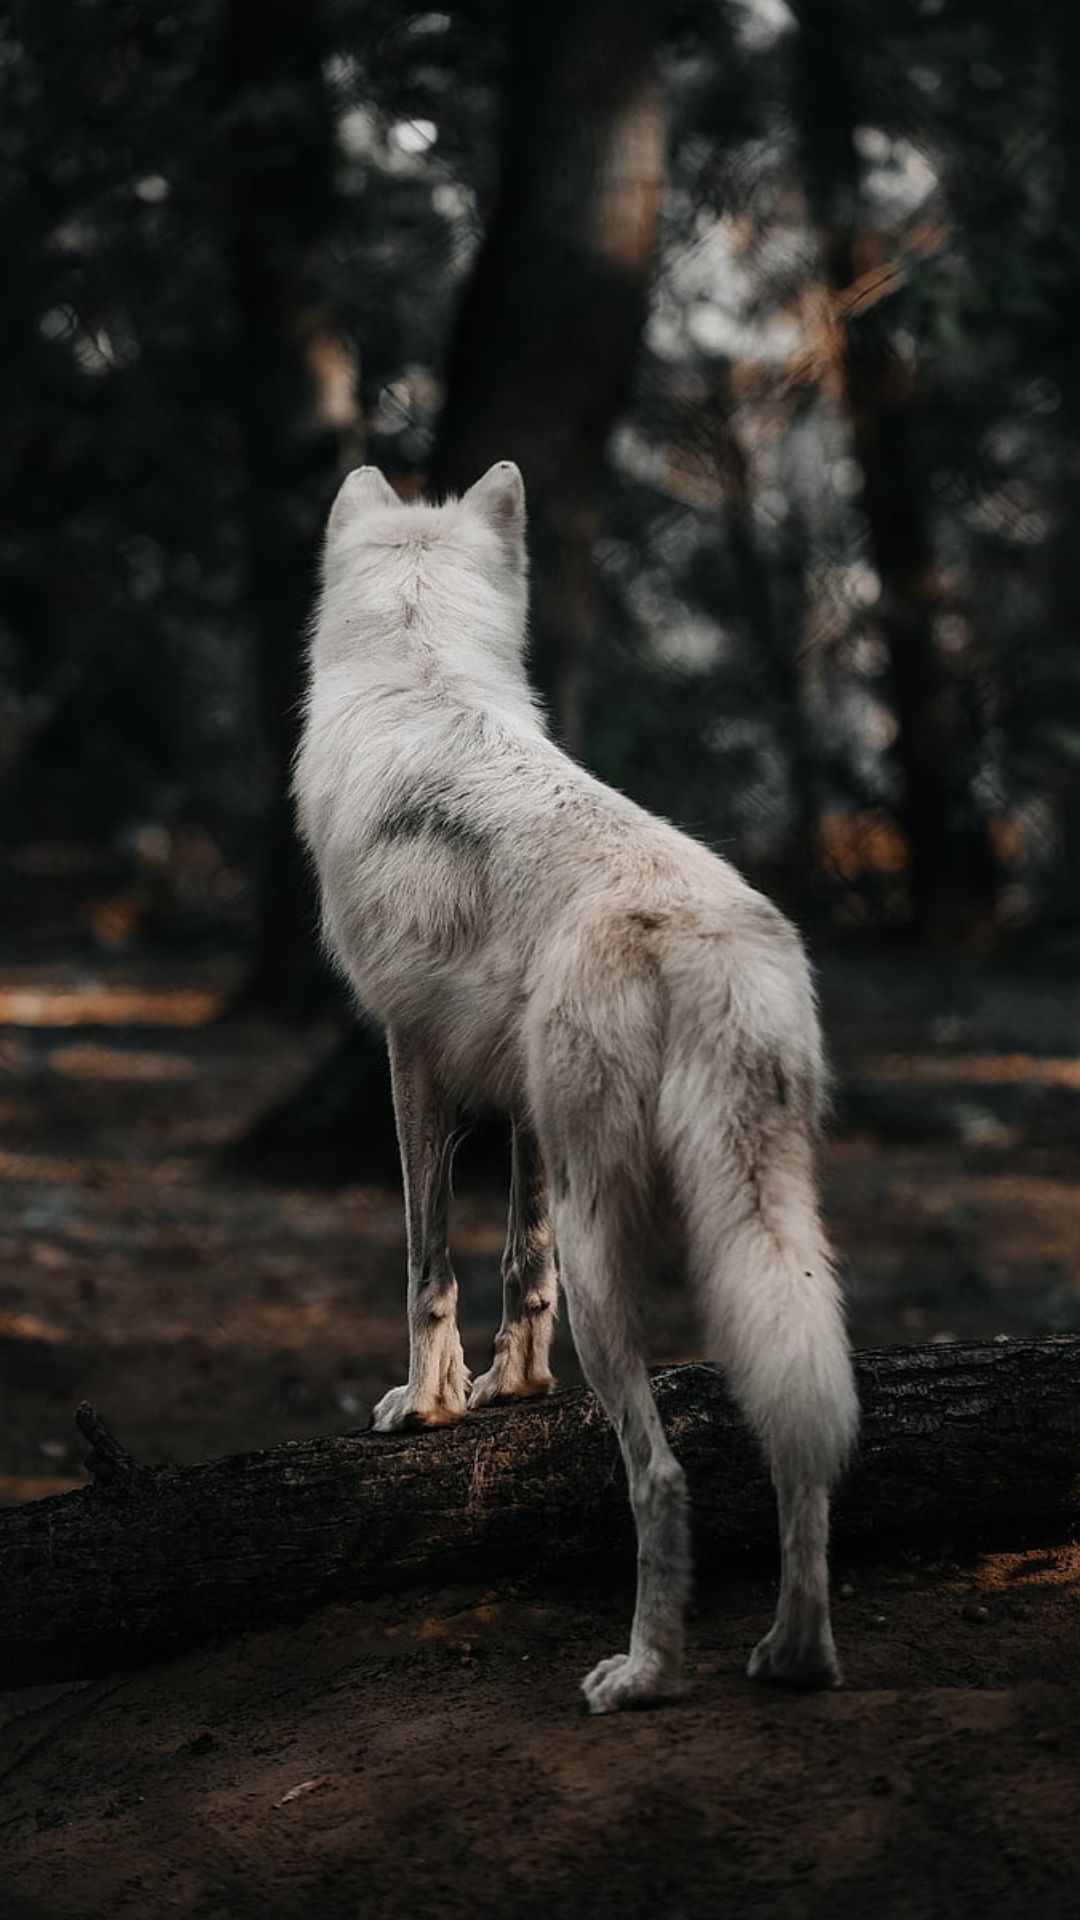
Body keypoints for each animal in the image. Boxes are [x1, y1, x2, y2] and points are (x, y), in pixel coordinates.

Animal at [290, 460, 853, 1712]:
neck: (422, 671)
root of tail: (699, 932)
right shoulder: (524, 1108)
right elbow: (517, 1263)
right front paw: (513, 1390)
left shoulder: (411, 1055)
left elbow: (429, 1268)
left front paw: (429, 1407)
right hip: (772, 1235)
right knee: (803, 1430)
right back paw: (795, 1655)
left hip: (620, 1257)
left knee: (661, 1478)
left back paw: (645, 1673)